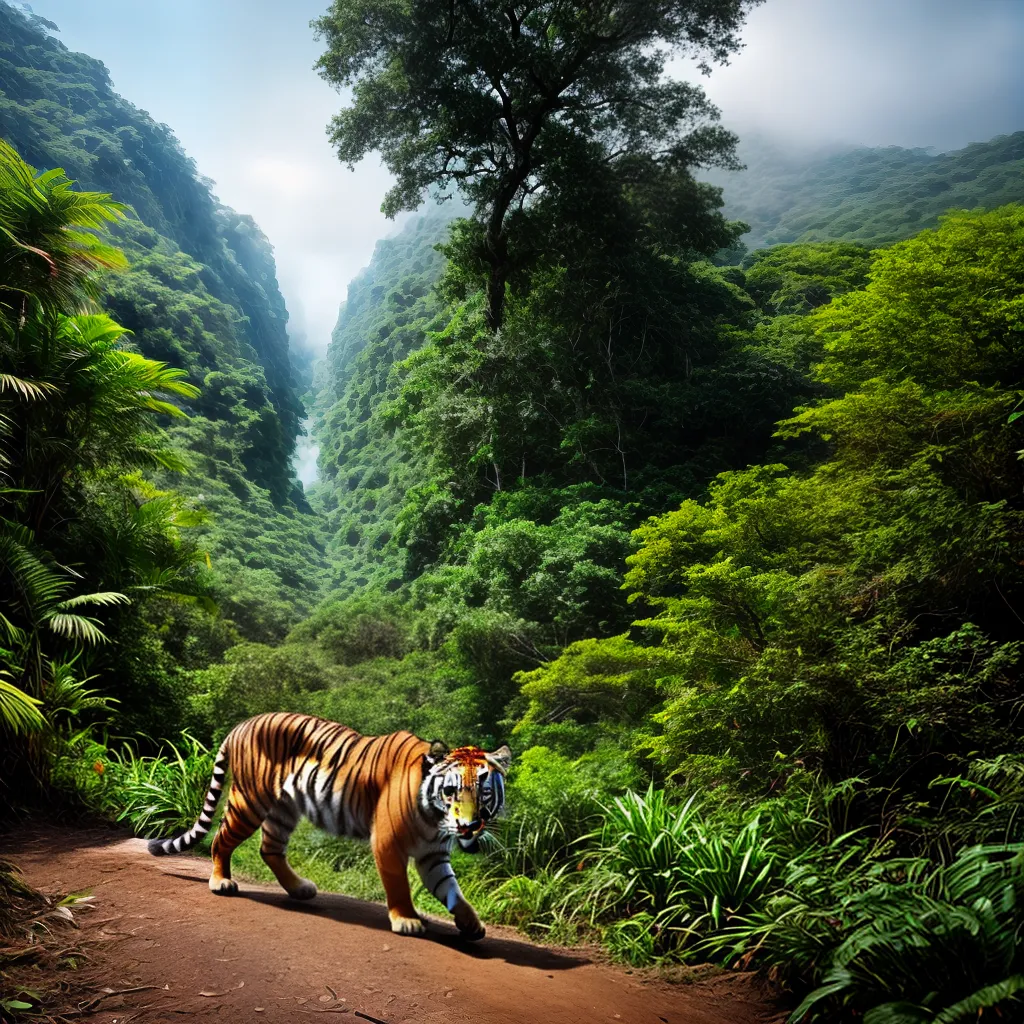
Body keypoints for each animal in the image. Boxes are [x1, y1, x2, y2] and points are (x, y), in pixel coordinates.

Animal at [146, 712, 510, 940]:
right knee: (220, 840)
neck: (435, 820)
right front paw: (406, 919)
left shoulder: (434, 854)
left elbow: (451, 889)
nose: (470, 825)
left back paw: (299, 889)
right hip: (249, 800)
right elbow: (399, 886)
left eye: (484, 791)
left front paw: (471, 923)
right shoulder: (388, 843)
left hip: (283, 809)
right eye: (451, 790)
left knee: (270, 849)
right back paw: (221, 882)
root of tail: (242, 723)